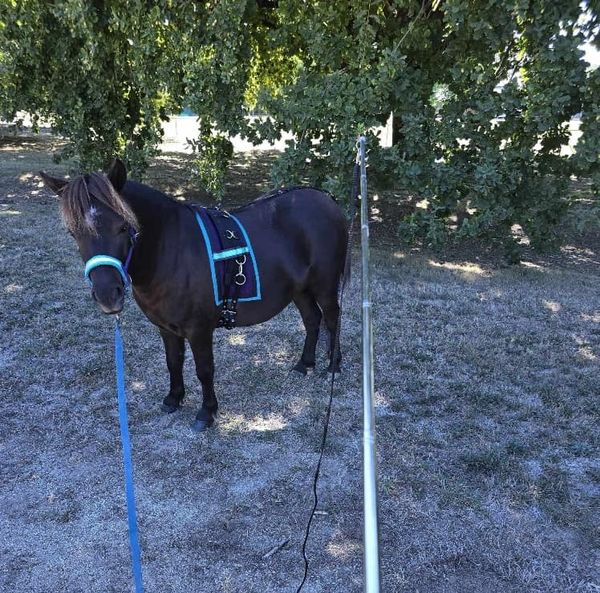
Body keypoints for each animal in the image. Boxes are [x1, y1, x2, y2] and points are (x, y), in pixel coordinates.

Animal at [41, 160, 346, 430]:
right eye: (74, 233)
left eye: (123, 226)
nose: (107, 296)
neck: (171, 250)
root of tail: (325, 199)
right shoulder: (166, 328)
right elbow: (173, 362)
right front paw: (173, 399)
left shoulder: (199, 329)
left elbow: (204, 369)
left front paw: (206, 413)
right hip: (300, 289)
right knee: (312, 319)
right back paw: (304, 364)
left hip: (324, 285)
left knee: (332, 319)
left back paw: (333, 366)